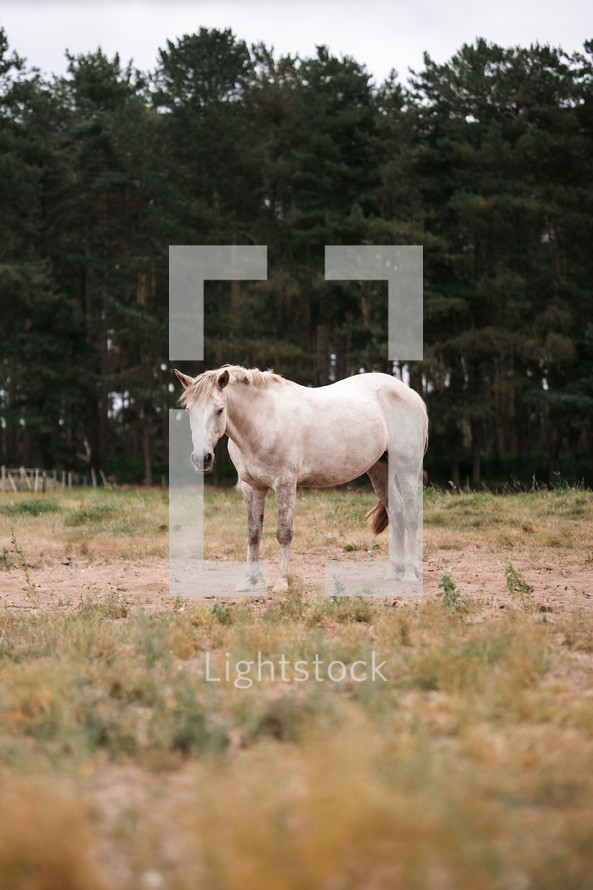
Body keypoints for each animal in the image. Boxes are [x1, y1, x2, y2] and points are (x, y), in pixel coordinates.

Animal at [173, 364, 428, 592]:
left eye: (220, 409)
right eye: (189, 410)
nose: (202, 458)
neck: (265, 420)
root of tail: (411, 394)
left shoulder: (285, 483)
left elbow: (283, 534)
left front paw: (282, 583)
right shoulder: (251, 487)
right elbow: (253, 533)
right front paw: (248, 582)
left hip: (407, 467)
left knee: (411, 514)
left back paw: (410, 574)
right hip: (380, 469)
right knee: (397, 514)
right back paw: (393, 573)